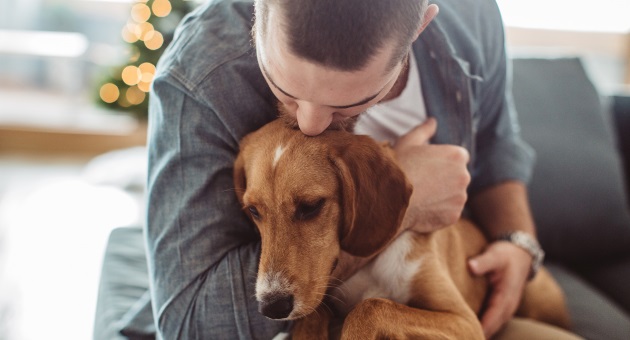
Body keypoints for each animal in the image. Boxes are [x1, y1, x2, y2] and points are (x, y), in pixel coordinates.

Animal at [236, 119, 572, 338]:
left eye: (310, 206)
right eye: (253, 211)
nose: (272, 307)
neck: (371, 266)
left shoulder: (464, 321)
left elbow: (370, 308)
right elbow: (314, 315)